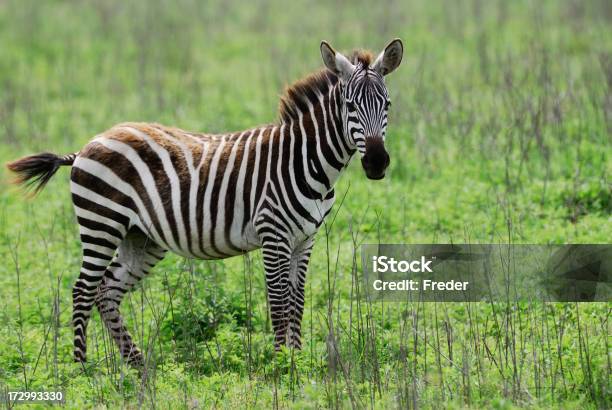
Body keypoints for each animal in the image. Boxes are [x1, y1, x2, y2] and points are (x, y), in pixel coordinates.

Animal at [7, 37, 404, 366]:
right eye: (349, 105)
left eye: (387, 104)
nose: (376, 163)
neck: (306, 161)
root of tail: (89, 144)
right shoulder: (273, 235)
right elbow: (278, 302)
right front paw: (281, 366)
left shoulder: (305, 240)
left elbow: (297, 301)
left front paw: (297, 360)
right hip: (101, 223)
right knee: (82, 290)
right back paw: (82, 370)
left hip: (141, 238)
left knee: (106, 291)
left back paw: (137, 366)